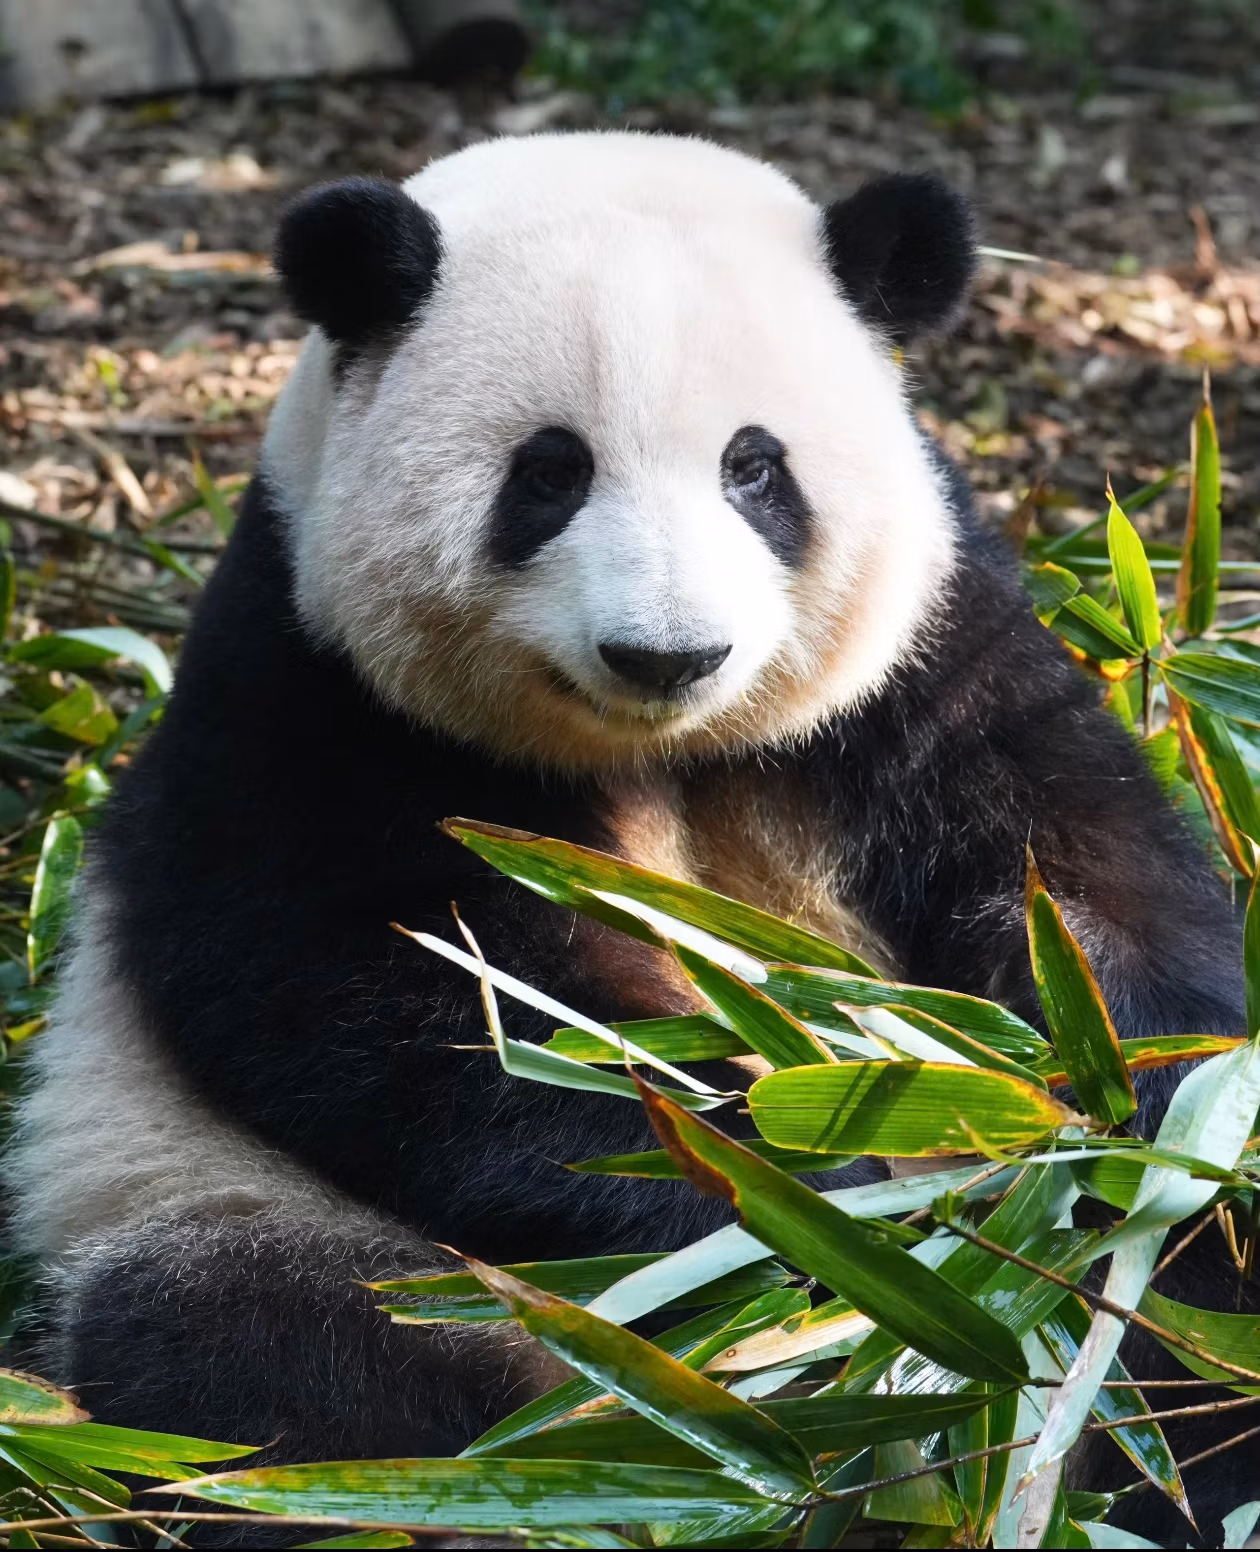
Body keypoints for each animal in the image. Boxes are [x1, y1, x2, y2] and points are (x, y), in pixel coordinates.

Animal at [5, 131, 1248, 1542]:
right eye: (550, 472)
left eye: (754, 468)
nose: (670, 652)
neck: (662, 748)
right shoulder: (309, 687)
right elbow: (416, 1016)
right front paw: (826, 1213)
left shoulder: (932, 656)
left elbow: (1086, 896)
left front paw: (1113, 1125)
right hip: (240, 1219)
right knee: (264, 1362)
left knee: (1182, 1330)